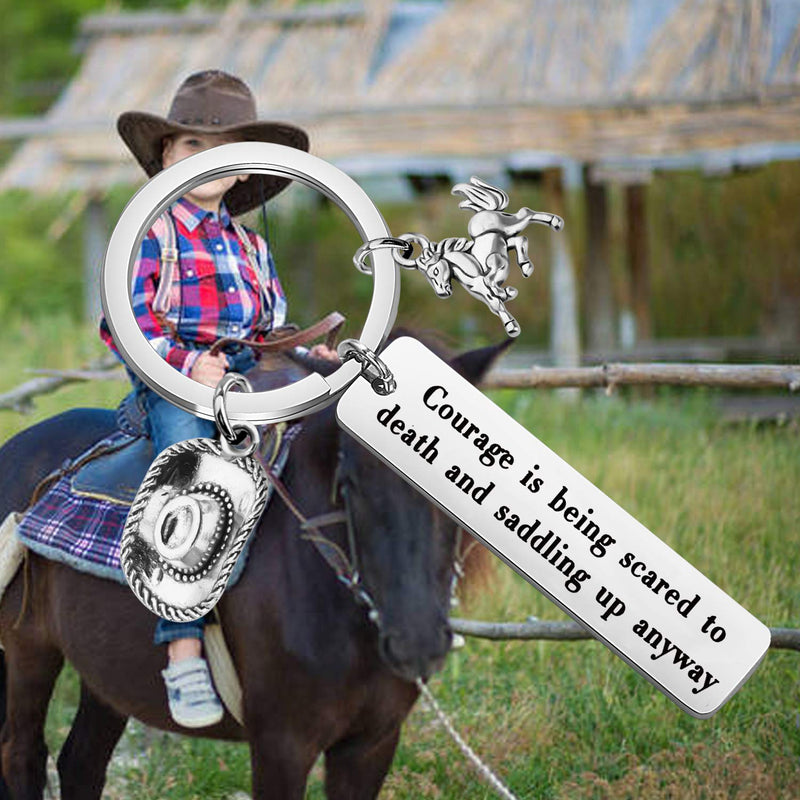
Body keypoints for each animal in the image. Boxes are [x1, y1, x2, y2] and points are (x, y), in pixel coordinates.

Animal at [0, 338, 504, 800]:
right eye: (349, 483)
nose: (416, 642)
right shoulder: (281, 744)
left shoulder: (371, 744)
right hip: (28, 652)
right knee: (22, 753)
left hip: (105, 676)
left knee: (80, 762)